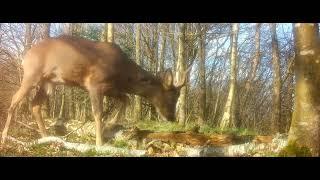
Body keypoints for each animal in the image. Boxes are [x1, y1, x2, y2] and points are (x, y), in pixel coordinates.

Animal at [0, 34, 190, 146]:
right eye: (171, 97)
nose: (172, 118)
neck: (123, 73)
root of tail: (26, 55)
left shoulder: (111, 87)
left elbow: (126, 99)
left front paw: (111, 124)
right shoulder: (94, 83)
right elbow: (98, 113)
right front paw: (100, 143)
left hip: (48, 83)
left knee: (34, 105)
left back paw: (46, 136)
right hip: (32, 74)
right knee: (14, 99)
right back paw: (5, 136)